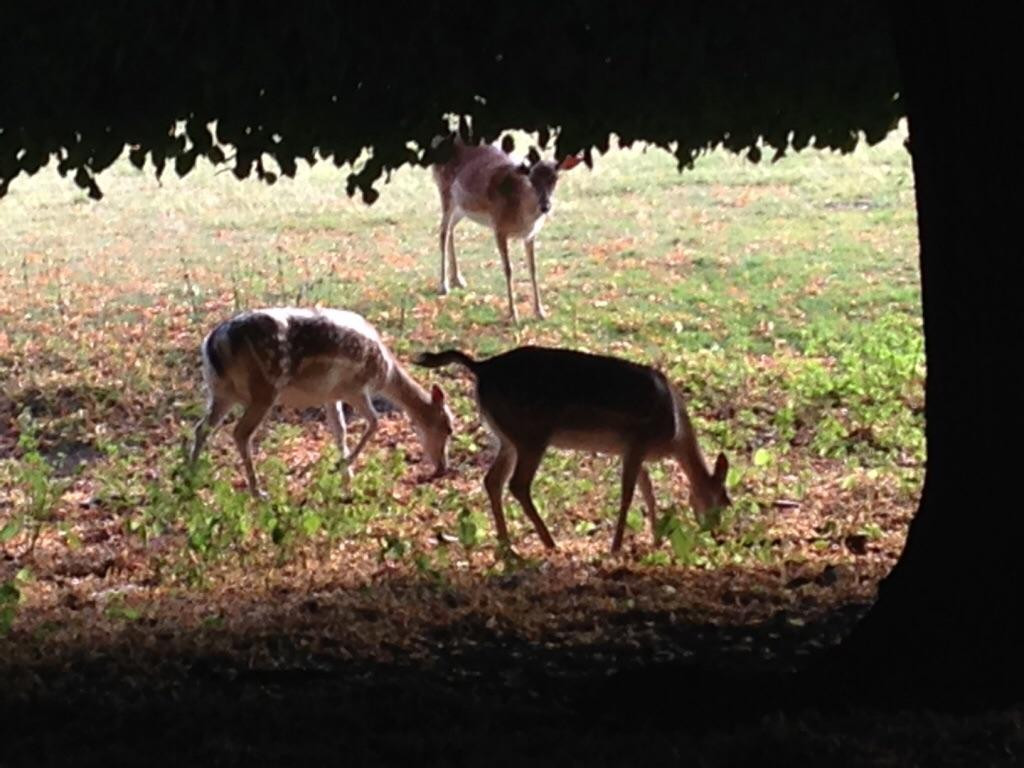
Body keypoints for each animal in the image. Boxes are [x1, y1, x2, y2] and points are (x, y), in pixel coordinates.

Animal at [191, 309, 452, 499]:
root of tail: (212, 343)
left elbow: (340, 431)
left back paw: (190, 477)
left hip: (221, 391)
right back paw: (258, 492)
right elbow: (374, 422)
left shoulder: (331, 395)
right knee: (240, 433)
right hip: (263, 389)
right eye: (448, 428)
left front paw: (347, 479)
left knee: (202, 427)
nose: (443, 468)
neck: (385, 374)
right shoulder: (354, 388)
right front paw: (341, 467)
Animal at [411, 346, 733, 557]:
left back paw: (507, 546)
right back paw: (549, 542)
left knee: (492, 480)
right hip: (531, 435)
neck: (673, 436)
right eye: (723, 501)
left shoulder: (631, 451)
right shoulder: (636, 443)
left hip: (507, 438)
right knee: (517, 484)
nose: (716, 534)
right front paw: (616, 546)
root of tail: (481, 367)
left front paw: (656, 538)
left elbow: (647, 491)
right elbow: (629, 495)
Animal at [428, 138, 581, 325]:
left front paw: (540, 312)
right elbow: (508, 269)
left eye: (555, 178)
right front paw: (513, 314)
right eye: (532, 179)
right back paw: (444, 286)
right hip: (445, 192)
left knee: (451, 229)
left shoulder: (530, 235)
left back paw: (458, 279)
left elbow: (533, 268)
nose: (545, 206)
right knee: (443, 231)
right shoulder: (499, 227)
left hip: (462, 207)